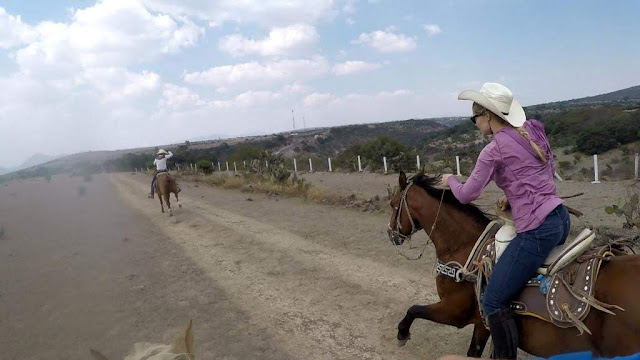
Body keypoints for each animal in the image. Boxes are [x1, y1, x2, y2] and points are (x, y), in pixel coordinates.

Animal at [384, 172, 640, 358]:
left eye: (393, 204)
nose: (391, 234)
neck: (466, 249)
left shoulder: (454, 311)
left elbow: (414, 309)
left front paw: (402, 334)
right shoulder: (482, 322)